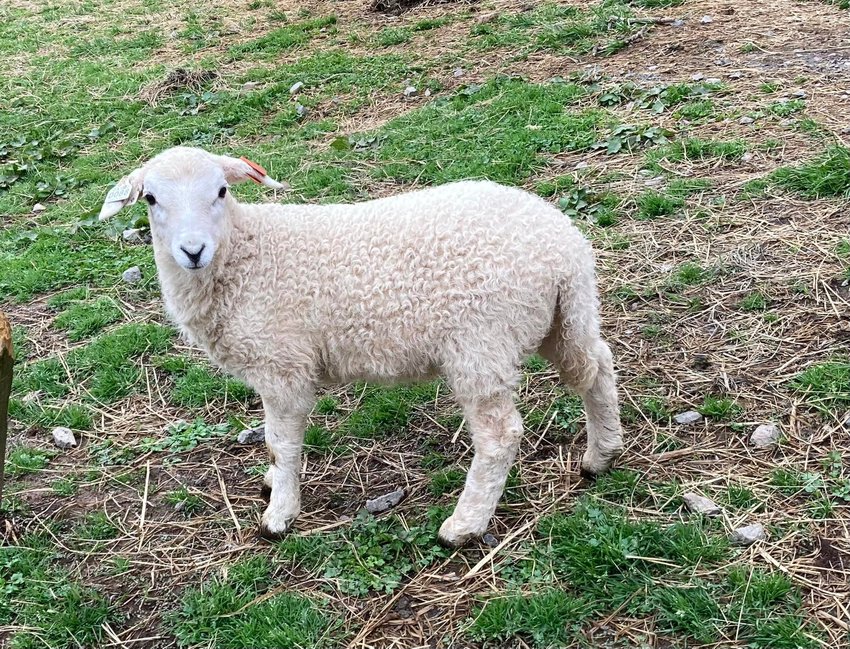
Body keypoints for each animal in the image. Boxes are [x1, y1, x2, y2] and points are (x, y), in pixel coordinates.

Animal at [99, 147, 624, 548]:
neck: (247, 255)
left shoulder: (282, 365)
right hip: (561, 318)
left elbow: (280, 442)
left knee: (500, 436)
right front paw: (272, 483)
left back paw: (464, 525)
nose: (192, 251)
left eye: (222, 192)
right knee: (595, 367)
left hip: (481, 340)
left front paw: (280, 513)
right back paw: (600, 456)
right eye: (151, 198)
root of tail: (564, 245)